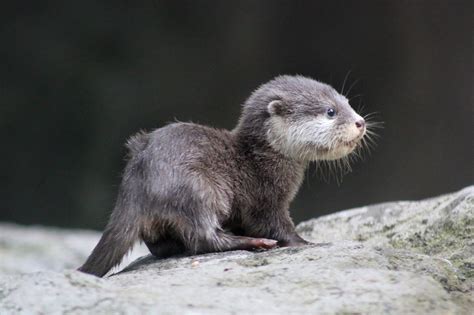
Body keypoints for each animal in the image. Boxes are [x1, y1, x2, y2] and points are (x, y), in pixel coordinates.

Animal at [78, 75, 368, 278]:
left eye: (347, 102)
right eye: (330, 111)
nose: (360, 121)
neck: (261, 159)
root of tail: (135, 185)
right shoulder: (264, 199)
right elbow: (275, 225)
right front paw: (306, 242)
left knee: (162, 246)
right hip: (197, 190)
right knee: (204, 237)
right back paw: (255, 243)